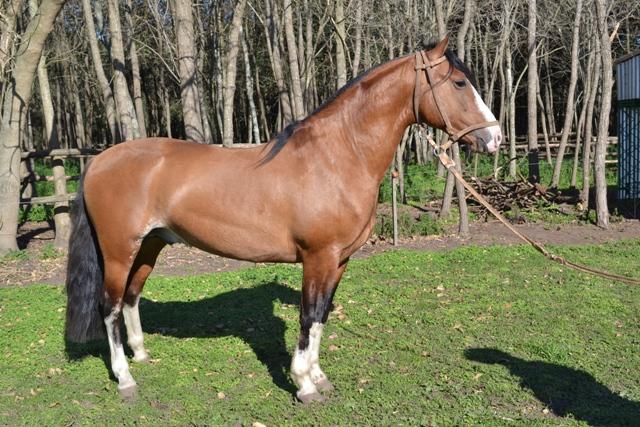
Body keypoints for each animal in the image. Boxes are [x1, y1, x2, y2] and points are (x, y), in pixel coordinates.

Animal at [65, 37, 502, 403]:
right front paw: (304, 385)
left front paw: (320, 377)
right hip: (119, 251)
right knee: (109, 306)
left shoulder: (339, 260)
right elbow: (308, 315)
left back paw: (141, 355)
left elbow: (322, 314)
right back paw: (125, 379)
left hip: (150, 245)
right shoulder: (318, 258)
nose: (494, 138)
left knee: (131, 297)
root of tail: (98, 161)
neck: (337, 157)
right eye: (459, 83)